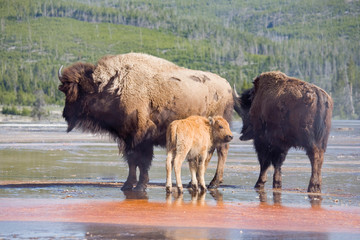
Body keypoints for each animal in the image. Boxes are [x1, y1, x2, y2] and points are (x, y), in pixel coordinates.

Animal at [57, 52, 233, 191]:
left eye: (76, 92)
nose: (65, 114)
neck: (114, 86)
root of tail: (228, 86)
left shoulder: (142, 136)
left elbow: (142, 160)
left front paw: (141, 185)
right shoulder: (127, 138)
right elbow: (131, 161)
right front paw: (127, 184)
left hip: (221, 130)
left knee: (221, 152)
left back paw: (213, 183)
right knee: (210, 153)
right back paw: (194, 183)